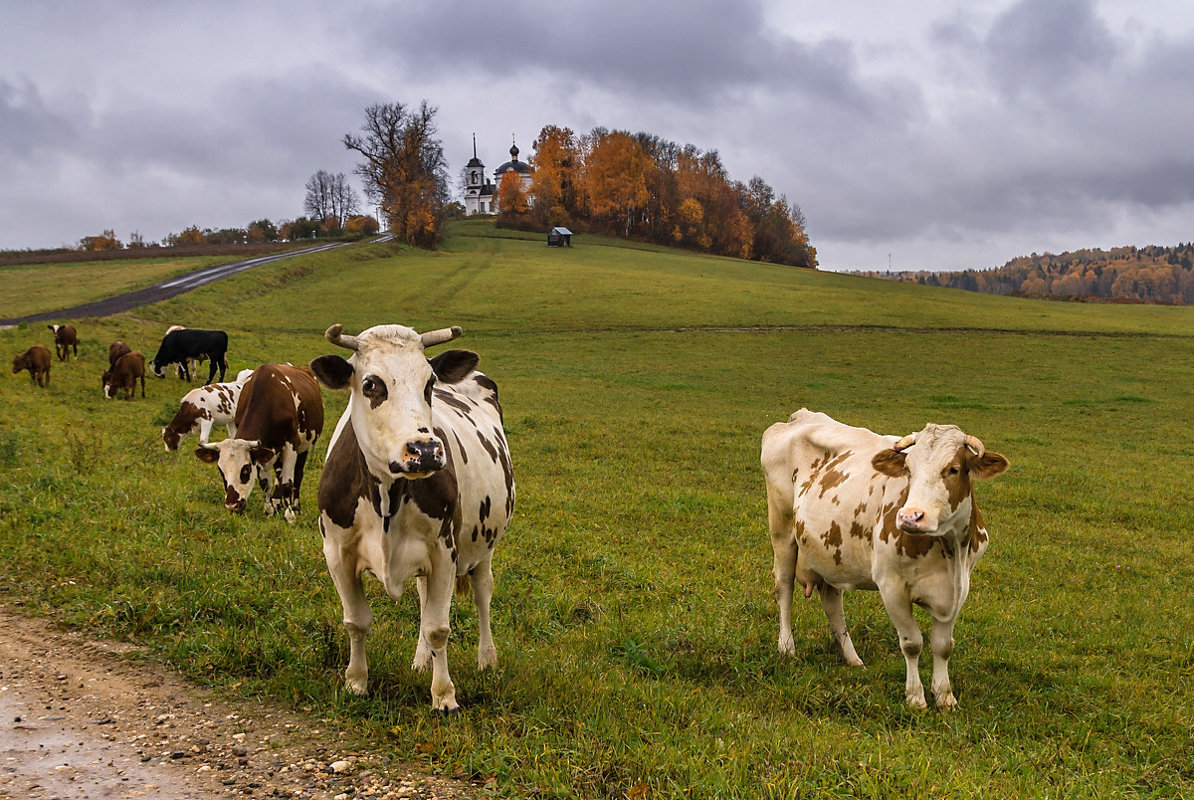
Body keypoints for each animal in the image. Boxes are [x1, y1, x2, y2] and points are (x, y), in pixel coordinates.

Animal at [195, 365, 327, 525]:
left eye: (245, 469)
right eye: (221, 470)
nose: (232, 505)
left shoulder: (291, 445)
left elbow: (287, 482)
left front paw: (290, 515)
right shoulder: (259, 452)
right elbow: (265, 482)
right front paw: (270, 510)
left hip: (305, 446)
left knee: (298, 474)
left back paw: (296, 507)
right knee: (279, 473)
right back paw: (277, 502)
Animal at [308, 324, 513, 716]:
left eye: (429, 382)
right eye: (371, 384)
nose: (426, 450)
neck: (386, 495)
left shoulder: (444, 552)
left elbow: (438, 627)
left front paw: (444, 695)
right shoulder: (337, 554)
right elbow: (356, 622)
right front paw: (356, 681)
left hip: (484, 544)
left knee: (482, 592)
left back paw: (488, 658)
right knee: (422, 597)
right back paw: (421, 660)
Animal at [754, 410, 1007, 711]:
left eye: (954, 469)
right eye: (908, 469)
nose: (910, 517)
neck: (950, 550)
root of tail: (799, 416)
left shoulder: (958, 589)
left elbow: (943, 645)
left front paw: (945, 696)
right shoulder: (891, 586)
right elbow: (912, 643)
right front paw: (916, 697)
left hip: (831, 549)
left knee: (832, 600)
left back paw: (851, 658)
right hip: (781, 530)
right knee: (784, 588)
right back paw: (787, 647)